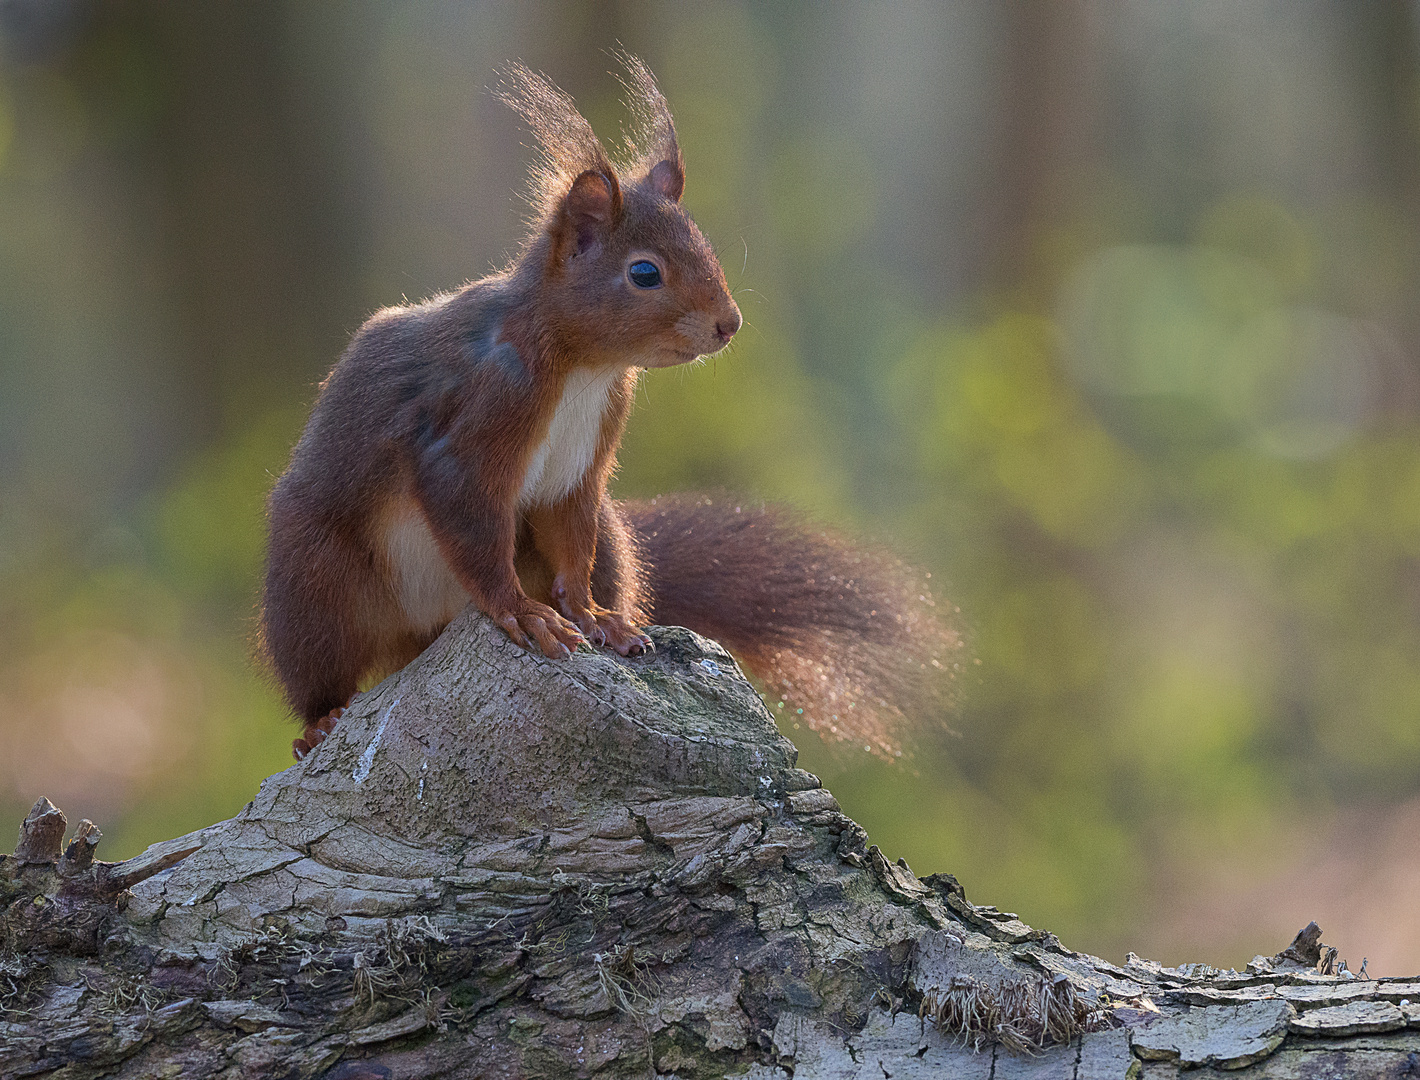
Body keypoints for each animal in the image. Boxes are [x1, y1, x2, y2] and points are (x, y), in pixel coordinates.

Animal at [261, 58, 959, 760]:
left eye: (705, 247)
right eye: (644, 273)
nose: (728, 324)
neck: (583, 368)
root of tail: (426, 636)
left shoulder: (582, 466)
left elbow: (570, 535)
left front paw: (589, 615)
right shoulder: (476, 418)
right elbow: (472, 526)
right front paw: (522, 612)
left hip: (614, 536)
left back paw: (617, 619)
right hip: (316, 583)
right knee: (321, 661)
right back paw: (322, 721)